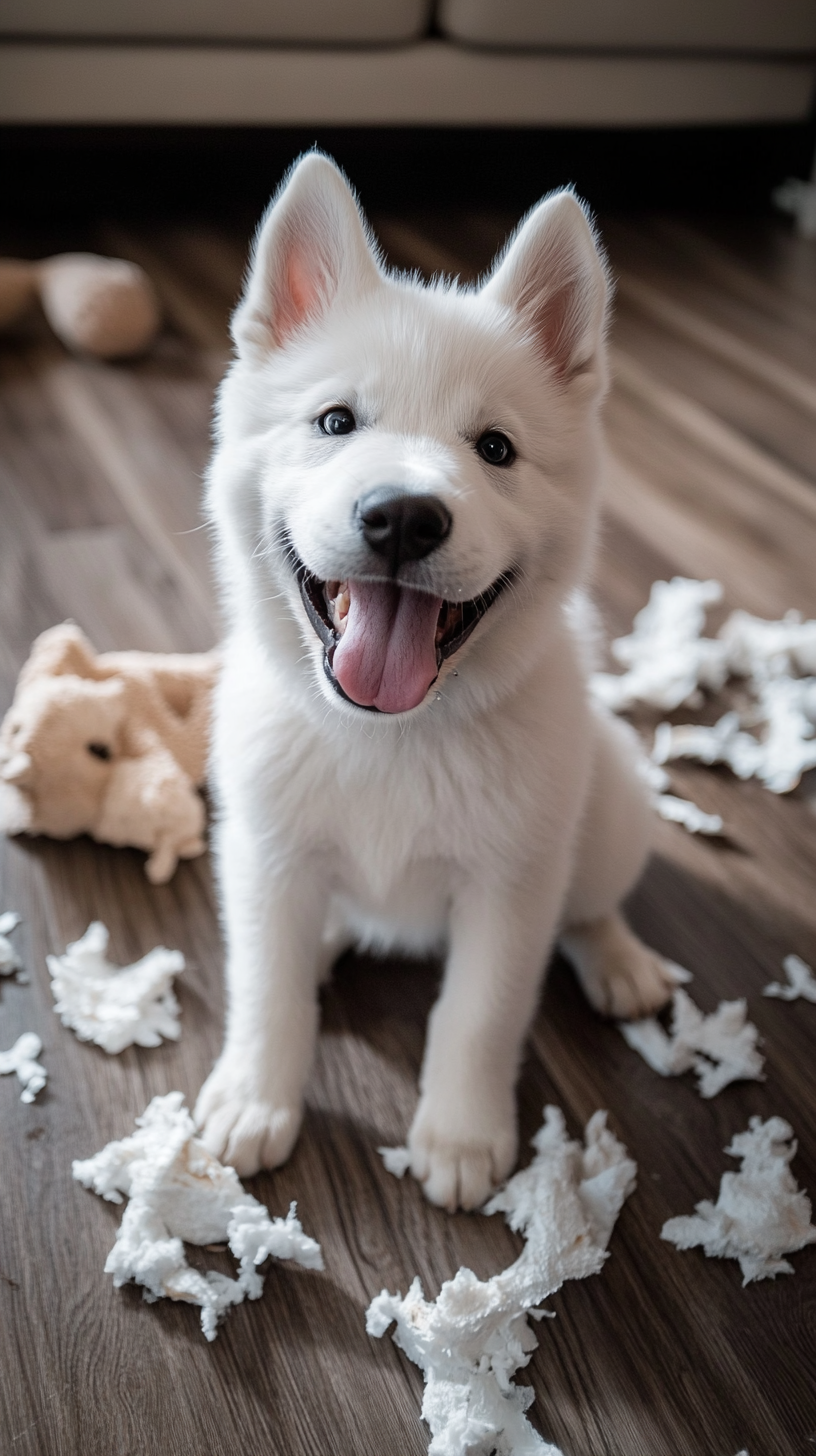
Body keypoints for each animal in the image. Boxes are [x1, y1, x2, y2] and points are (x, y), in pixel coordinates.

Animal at [198, 153, 676, 1211]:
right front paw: (254, 1097)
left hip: (608, 811)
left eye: (495, 448)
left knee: (590, 903)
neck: (390, 732)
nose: (404, 517)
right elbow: (266, 988)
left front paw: (459, 1134)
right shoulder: (267, 855)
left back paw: (619, 959)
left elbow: (479, 1013)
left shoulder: (509, 888)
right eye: (335, 422)